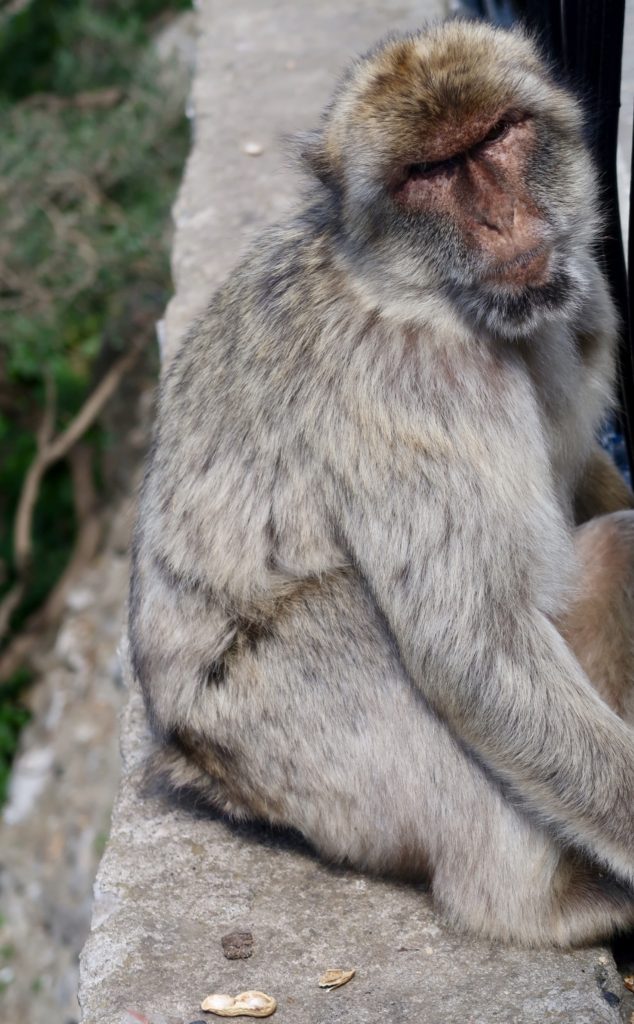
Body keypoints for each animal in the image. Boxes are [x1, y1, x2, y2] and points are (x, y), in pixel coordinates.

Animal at [129, 18, 634, 942]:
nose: (500, 218)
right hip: (292, 753)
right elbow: (472, 647)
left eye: (497, 136)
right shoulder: (413, 379)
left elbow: (580, 470)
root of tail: (198, 769)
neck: (431, 295)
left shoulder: (580, 304)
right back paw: (535, 904)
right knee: (363, 616)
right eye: (428, 175)